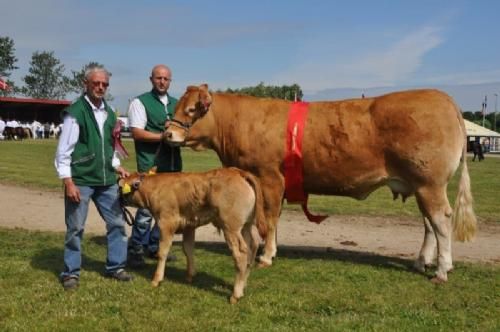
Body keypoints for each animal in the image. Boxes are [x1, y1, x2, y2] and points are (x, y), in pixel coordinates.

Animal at [164, 84, 476, 284]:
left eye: (191, 109)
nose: (167, 134)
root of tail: (443, 98)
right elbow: (272, 218)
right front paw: (269, 251)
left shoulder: (269, 177)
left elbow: (269, 219)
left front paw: (266, 256)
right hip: (421, 185)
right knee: (429, 224)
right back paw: (421, 261)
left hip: (429, 183)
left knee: (441, 220)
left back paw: (442, 270)